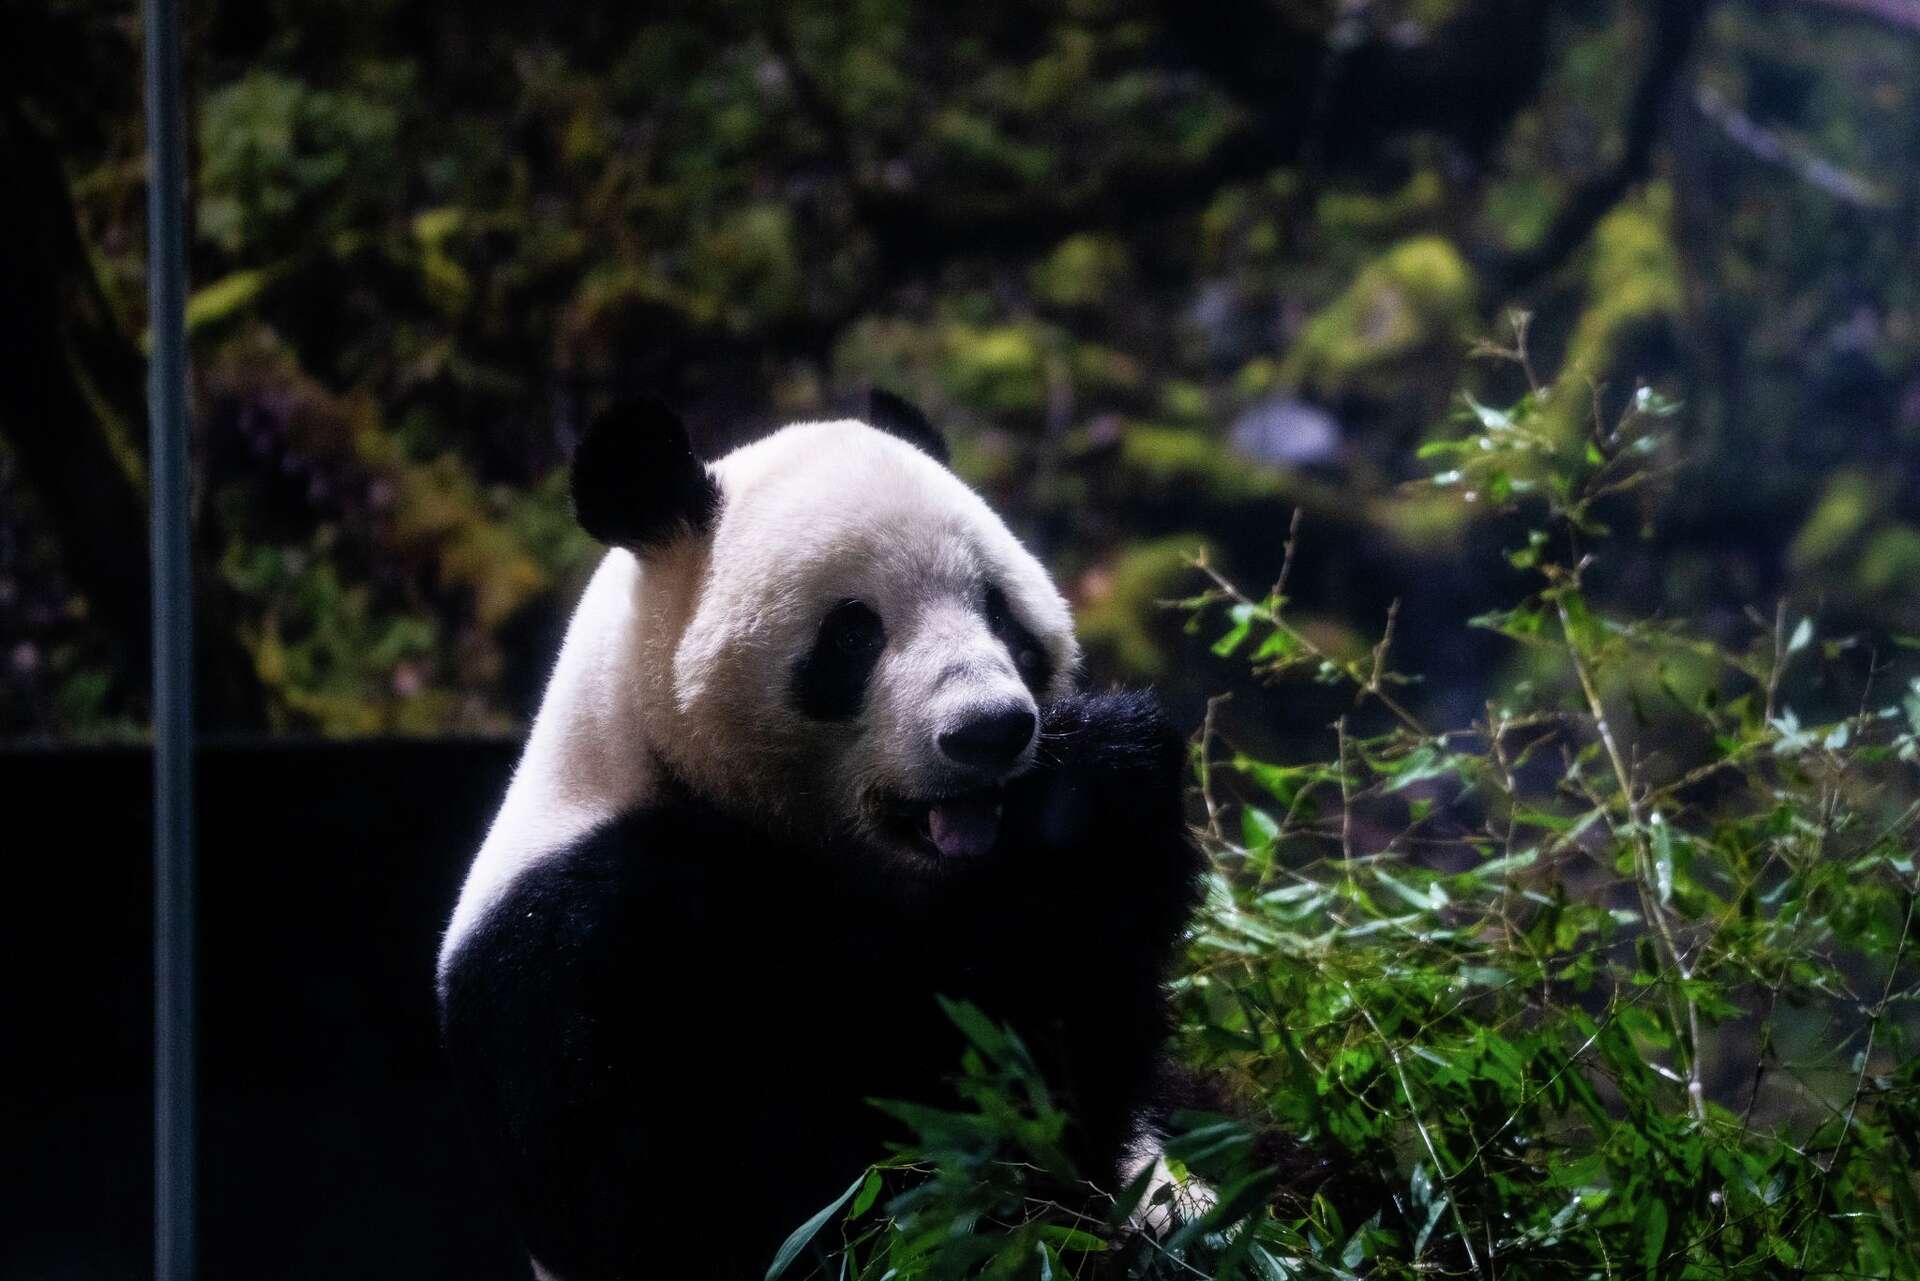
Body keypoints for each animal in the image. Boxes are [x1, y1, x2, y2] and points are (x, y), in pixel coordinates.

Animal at [437, 392, 1205, 1280]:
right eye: (853, 632)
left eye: (999, 610)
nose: (988, 730)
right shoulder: (588, 946)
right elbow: (774, 1194)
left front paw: (1100, 782)